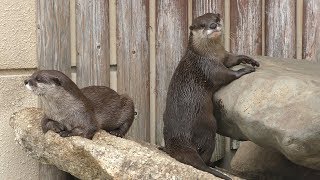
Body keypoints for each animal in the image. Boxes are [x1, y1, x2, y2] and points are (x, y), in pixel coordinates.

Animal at [162, 13, 260, 179]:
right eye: (202, 25)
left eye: (216, 18)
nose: (213, 25)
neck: (209, 54)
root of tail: (180, 135)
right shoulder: (209, 66)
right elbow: (226, 75)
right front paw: (244, 70)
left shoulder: (224, 56)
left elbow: (233, 58)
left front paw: (248, 59)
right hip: (207, 126)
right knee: (205, 151)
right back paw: (211, 164)